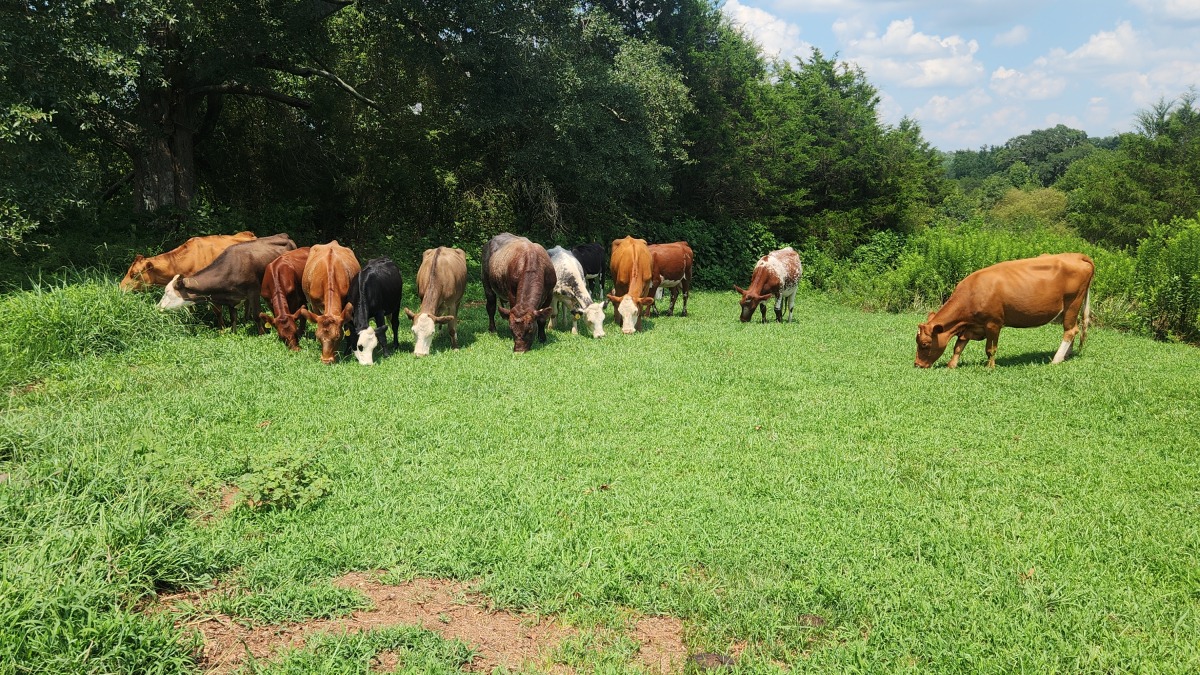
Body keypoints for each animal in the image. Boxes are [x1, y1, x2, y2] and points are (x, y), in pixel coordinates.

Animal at [157, 234, 296, 333]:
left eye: (168, 292)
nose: (158, 307)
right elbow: (233, 317)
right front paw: (234, 333)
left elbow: (257, 315)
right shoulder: (231, 298)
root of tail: (285, 235)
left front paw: (261, 334)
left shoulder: (254, 291)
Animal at [915, 253, 1094, 369]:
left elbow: (990, 349)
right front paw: (952, 364)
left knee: (1070, 330)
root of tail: (1077, 255)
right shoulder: (971, 326)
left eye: (925, 344)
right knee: (1073, 330)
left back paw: (1056, 360)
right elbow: (959, 345)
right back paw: (1066, 356)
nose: (917, 364)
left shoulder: (993, 323)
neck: (973, 292)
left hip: (1072, 302)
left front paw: (990, 367)